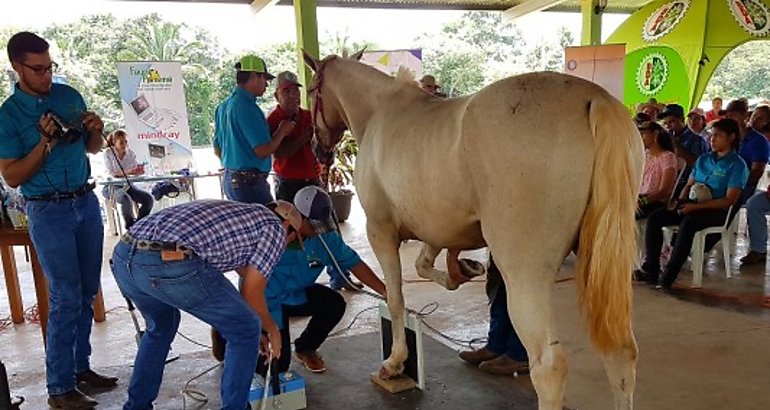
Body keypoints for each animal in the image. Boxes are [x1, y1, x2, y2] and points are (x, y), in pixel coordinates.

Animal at [304, 52, 644, 410]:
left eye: (312, 90)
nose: (317, 146)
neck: (381, 111)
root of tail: (595, 99)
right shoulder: (435, 229)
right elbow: (423, 266)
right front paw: (464, 269)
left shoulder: (381, 231)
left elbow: (395, 298)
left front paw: (395, 362)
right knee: (621, 355)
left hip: (524, 273)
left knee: (549, 367)